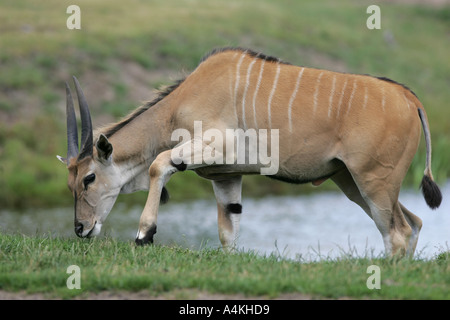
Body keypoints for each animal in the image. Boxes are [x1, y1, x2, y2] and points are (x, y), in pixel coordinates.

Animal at [58, 47, 442, 256]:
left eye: (89, 178)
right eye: (70, 183)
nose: (81, 228)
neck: (181, 101)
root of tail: (409, 98)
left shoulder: (216, 144)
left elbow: (159, 163)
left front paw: (144, 234)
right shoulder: (226, 177)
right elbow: (228, 232)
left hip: (373, 182)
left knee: (398, 233)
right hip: (354, 183)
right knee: (411, 224)